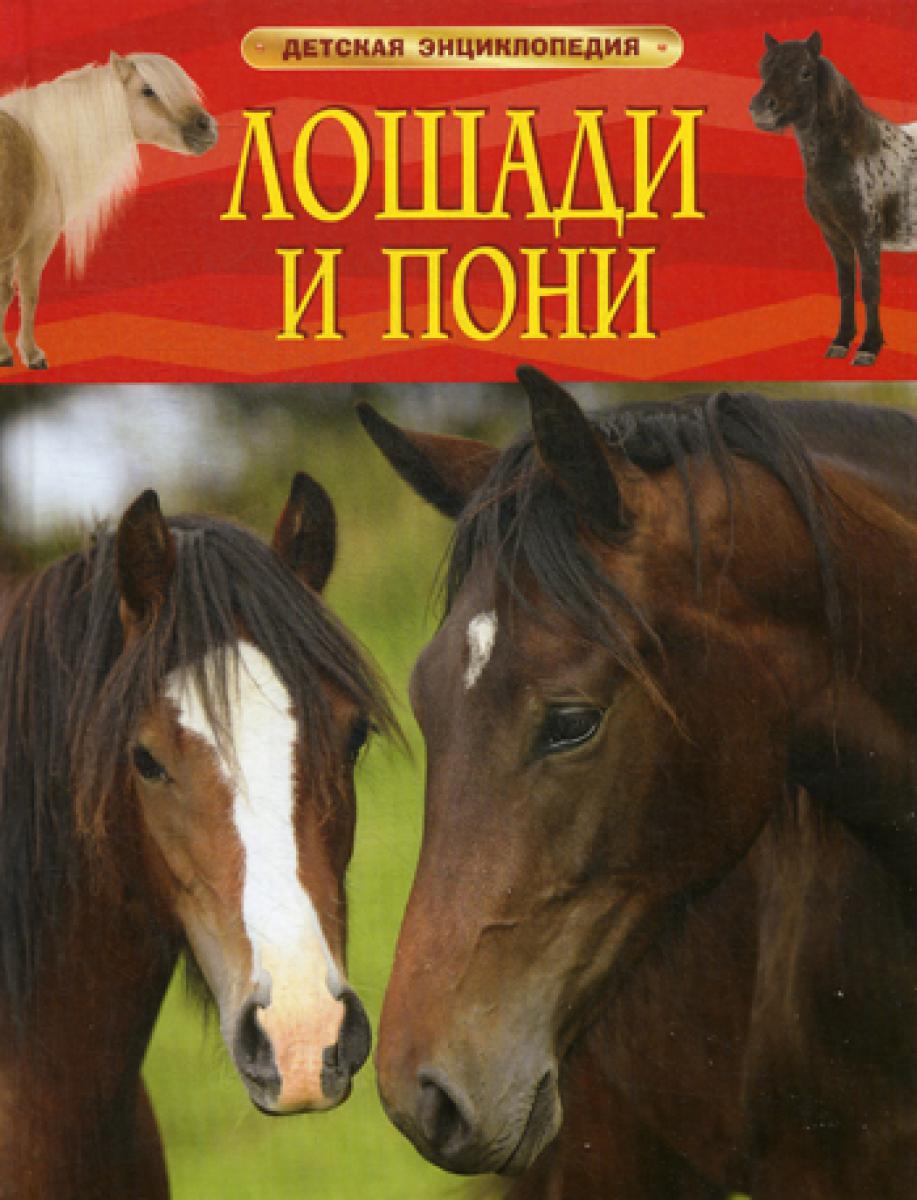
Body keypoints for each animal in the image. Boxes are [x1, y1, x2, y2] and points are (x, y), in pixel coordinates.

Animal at [0, 51, 217, 369]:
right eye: (148, 90)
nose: (208, 127)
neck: (40, 147)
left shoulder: (11, 245)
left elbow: (3, 294)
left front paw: (4, 353)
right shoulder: (36, 239)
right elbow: (29, 293)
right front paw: (31, 353)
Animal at [750, 32, 916, 366]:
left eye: (805, 72)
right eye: (765, 69)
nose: (761, 110)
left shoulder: (866, 236)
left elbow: (870, 288)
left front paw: (869, 347)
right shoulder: (835, 237)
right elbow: (846, 287)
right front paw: (841, 342)